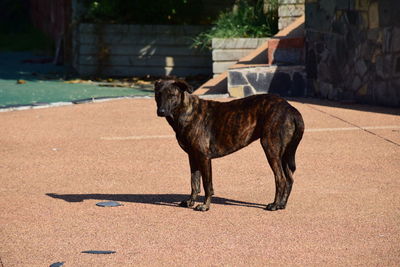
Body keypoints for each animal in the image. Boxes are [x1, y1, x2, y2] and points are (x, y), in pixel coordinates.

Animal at [155, 78, 304, 213]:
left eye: (172, 95)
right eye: (158, 94)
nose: (161, 111)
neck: (186, 112)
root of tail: (291, 109)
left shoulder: (204, 157)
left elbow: (207, 185)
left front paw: (205, 206)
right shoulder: (192, 157)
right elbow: (194, 183)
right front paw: (190, 202)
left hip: (271, 149)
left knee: (281, 179)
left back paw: (275, 204)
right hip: (283, 154)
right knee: (289, 179)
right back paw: (282, 204)